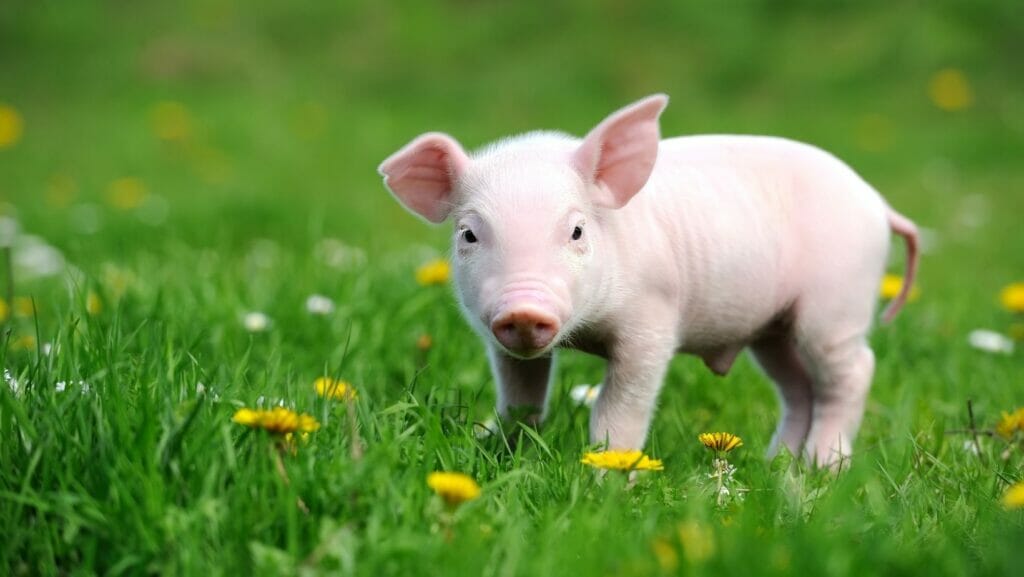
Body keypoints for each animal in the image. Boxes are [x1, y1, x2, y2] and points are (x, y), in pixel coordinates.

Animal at [378, 94, 919, 466]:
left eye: (577, 230)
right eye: (468, 234)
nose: (524, 309)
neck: (585, 332)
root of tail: (878, 204)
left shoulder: (652, 322)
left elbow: (619, 410)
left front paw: (608, 475)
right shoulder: (502, 343)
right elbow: (520, 399)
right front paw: (495, 449)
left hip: (837, 302)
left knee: (853, 371)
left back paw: (822, 468)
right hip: (773, 329)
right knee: (799, 388)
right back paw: (775, 466)